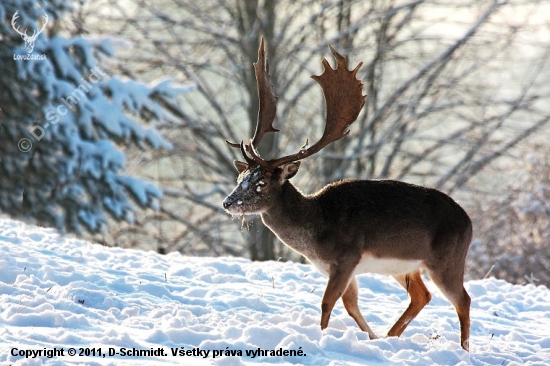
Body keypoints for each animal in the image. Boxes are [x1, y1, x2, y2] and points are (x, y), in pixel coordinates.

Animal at [224, 38, 474, 352]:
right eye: (240, 178)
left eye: (261, 184)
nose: (228, 202)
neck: (316, 231)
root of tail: (469, 221)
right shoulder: (346, 267)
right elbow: (351, 305)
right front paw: (370, 337)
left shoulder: (346, 257)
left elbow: (327, 303)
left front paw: (322, 338)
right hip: (405, 266)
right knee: (422, 295)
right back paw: (390, 336)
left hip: (447, 259)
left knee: (463, 299)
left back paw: (464, 350)